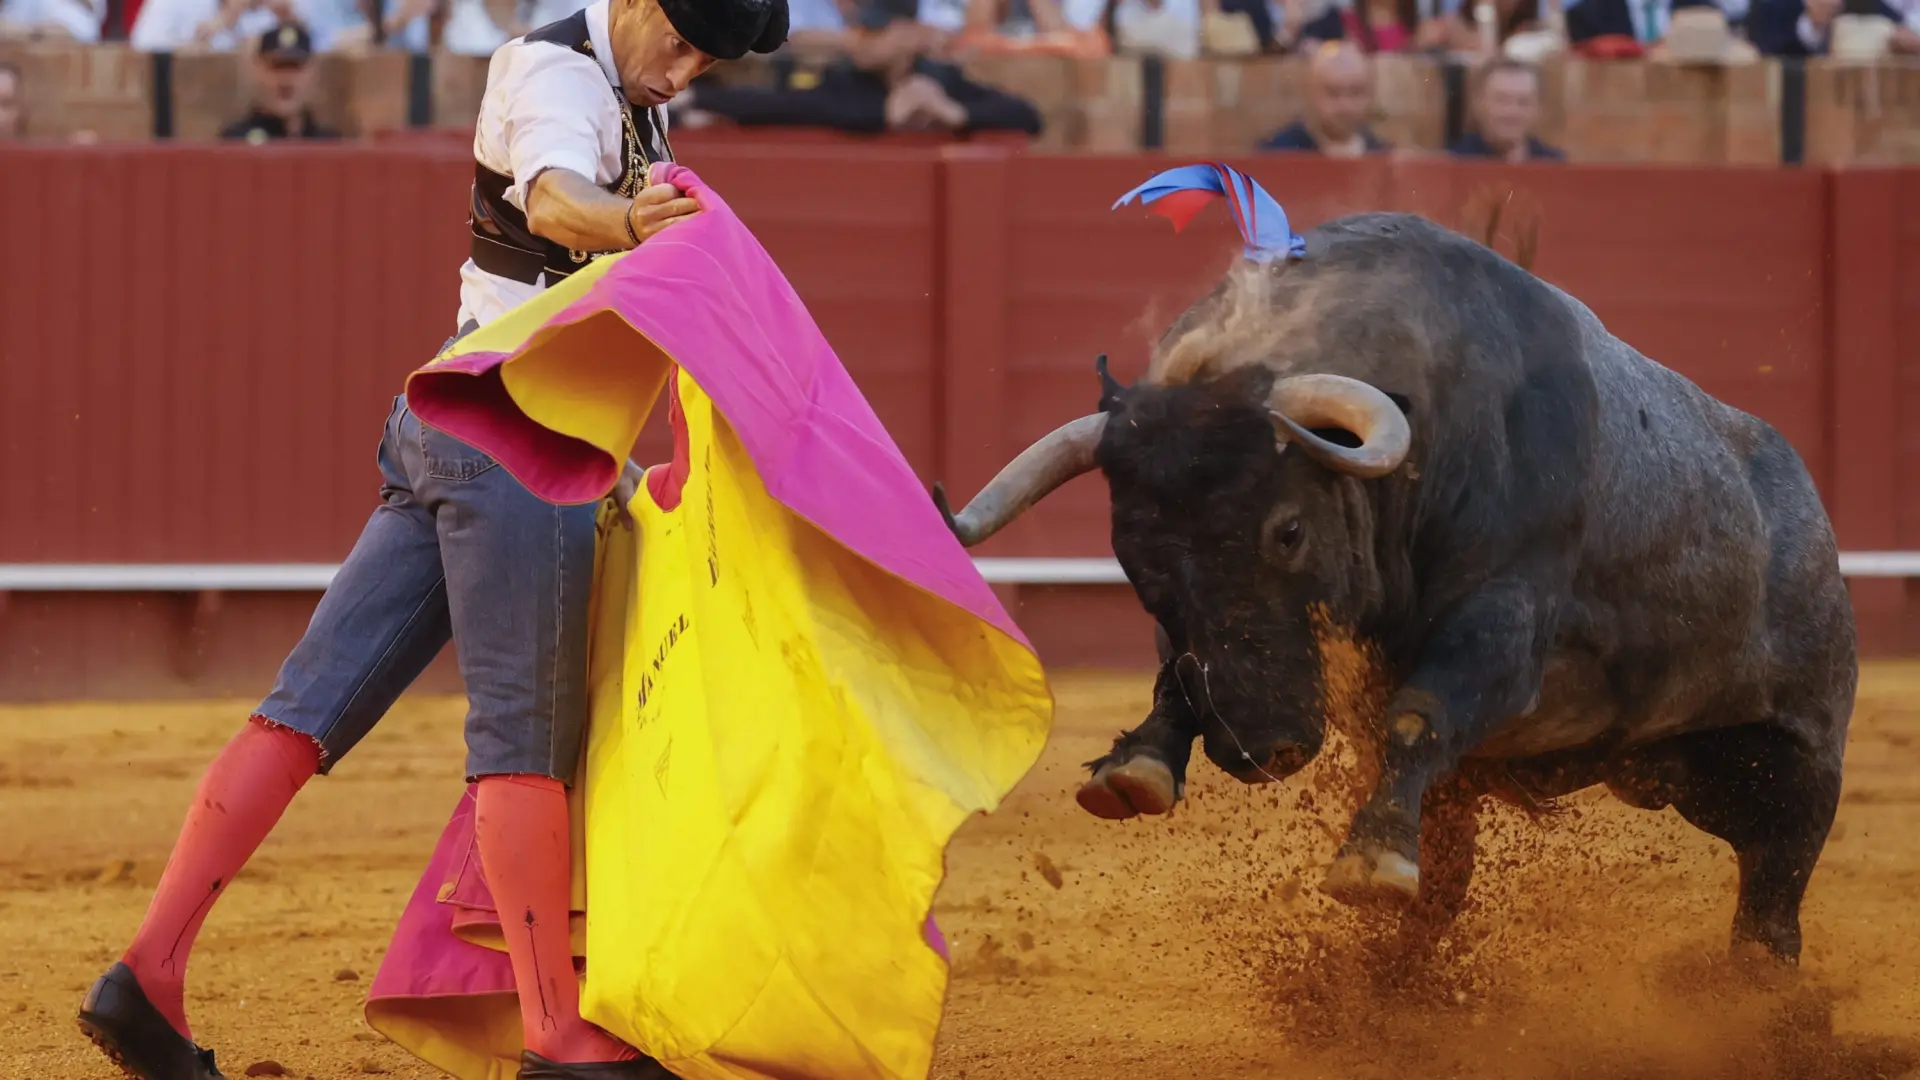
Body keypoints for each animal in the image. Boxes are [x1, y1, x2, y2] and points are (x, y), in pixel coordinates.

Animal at [936, 201, 1850, 957]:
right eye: (1134, 560)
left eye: (1290, 530)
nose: (1254, 747)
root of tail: (1807, 503)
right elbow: (1180, 678)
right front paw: (1135, 768)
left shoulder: (1503, 624)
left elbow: (1419, 713)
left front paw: (1369, 860)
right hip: (1656, 768)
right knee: (1448, 880)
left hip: (1800, 758)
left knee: (1777, 884)